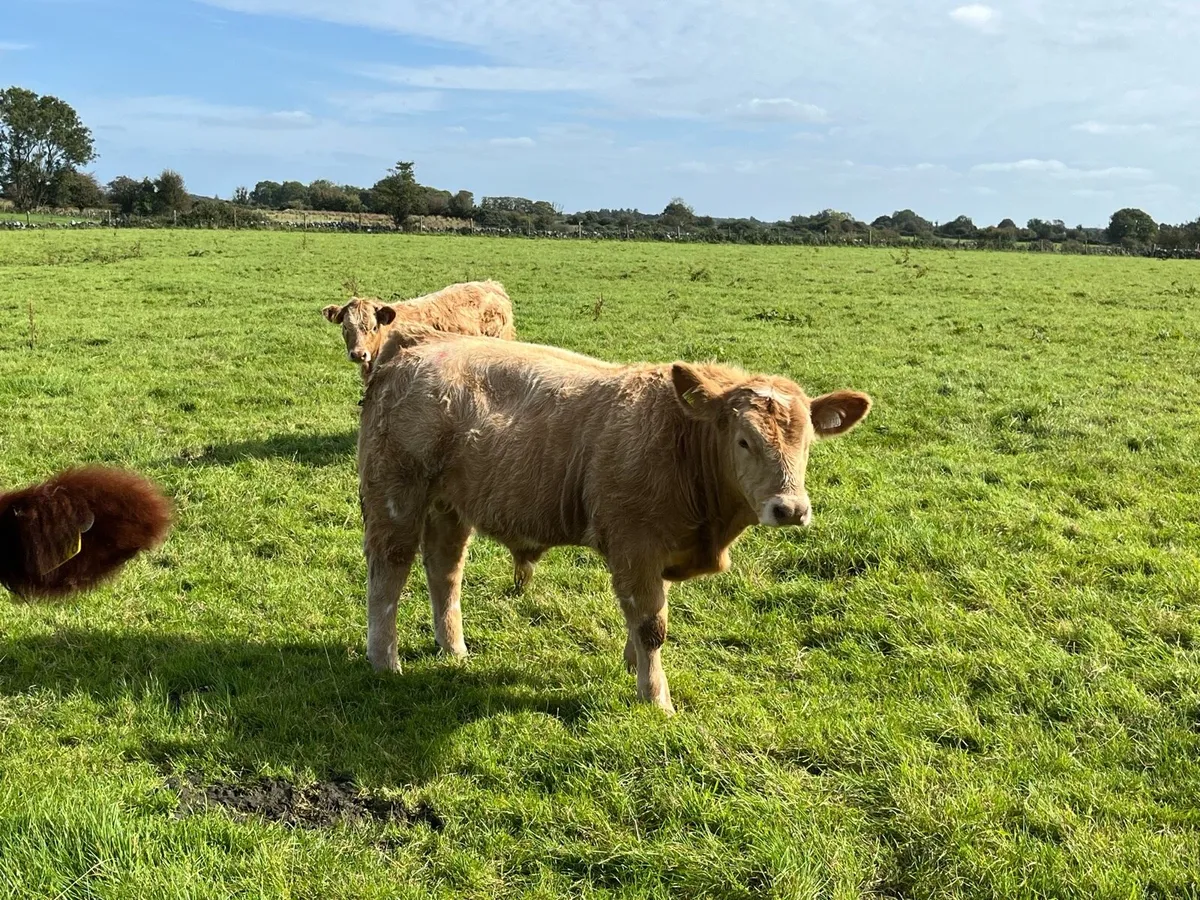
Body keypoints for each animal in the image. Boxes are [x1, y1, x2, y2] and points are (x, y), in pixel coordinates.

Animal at [357, 328, 872, 714]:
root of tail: (409, 352)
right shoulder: (634, 544)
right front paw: (656, 698)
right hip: (395, 497)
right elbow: (651, 625)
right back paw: (385, 662)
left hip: (449, 507)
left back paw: (454, 650)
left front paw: (632, 666)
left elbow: (641, 617)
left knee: (445, 572)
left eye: (806, 441)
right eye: (744, 440)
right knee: (389, 575)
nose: (790, 509)